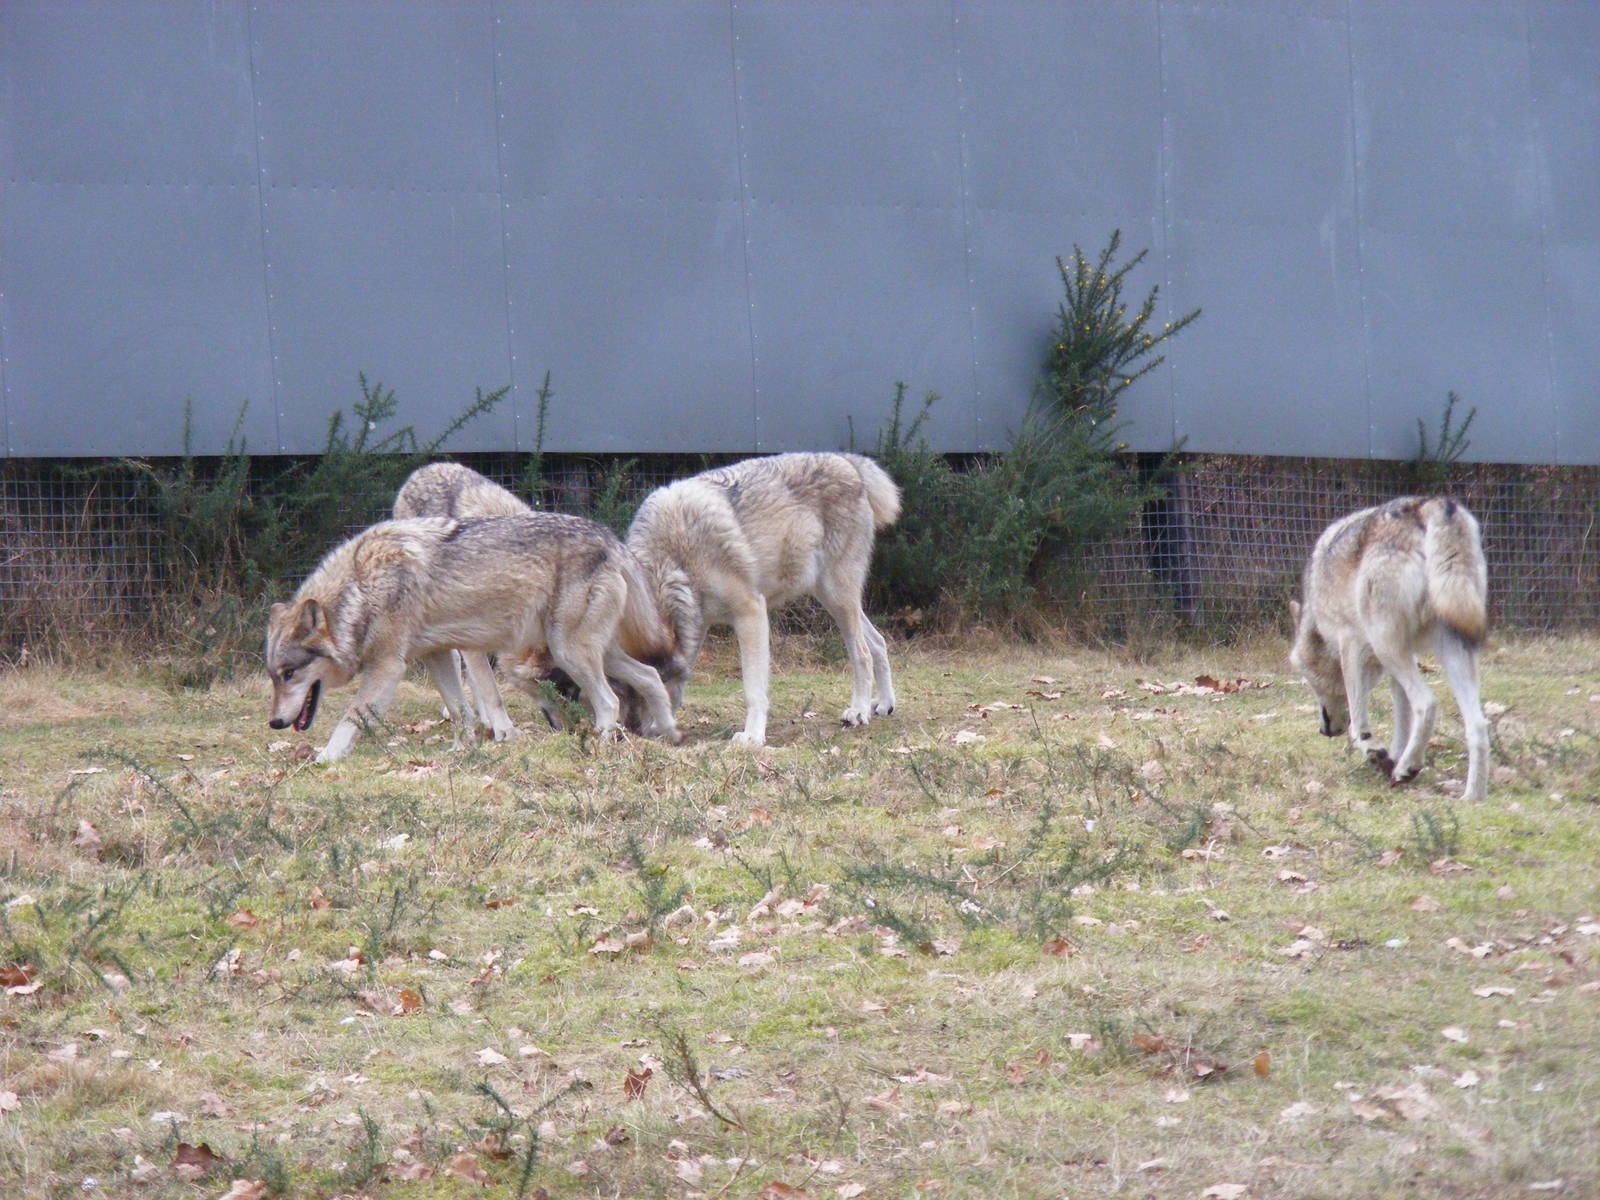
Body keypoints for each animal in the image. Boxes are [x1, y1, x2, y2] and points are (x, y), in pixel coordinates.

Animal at [264, 514, 684, 762]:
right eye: (273, 677)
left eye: (289, 674)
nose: (275, 723)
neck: (360, 588)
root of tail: (608, 536)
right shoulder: (438, 654)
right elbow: (460, 709)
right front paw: (461, 750)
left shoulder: (388, 666)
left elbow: (350, 717)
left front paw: (325, 759)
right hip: (595, 654)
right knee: (650, 677)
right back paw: (669, 733)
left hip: (572, 655)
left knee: (610, 700)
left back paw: (599, 743)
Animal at [626, 451, 900, 746]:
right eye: (618, 686)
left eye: (641, 687)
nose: (630, 731)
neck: (675, 558)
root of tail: (847, 461)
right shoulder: (699, 622)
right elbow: (682, 679)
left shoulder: (751, 612)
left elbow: (753, 689)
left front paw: (753, 737)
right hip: (831, 599)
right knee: (878, 642)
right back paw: (885, 703)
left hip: (837, 597)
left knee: (862, 654)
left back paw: (859, 711)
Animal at [1289, 496, 1489, 801]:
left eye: (1308, 681)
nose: (1323, 731)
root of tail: (1428, 505)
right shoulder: (1405, 659)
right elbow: (1402, 719)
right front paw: (1393, 758)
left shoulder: (1352, 647)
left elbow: (1357, 725)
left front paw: (1377, 753)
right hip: (1452, 648)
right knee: (1477, 725)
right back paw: (1471, 798)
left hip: (1387, 644)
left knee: (1427, 703)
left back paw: (1409, 767)